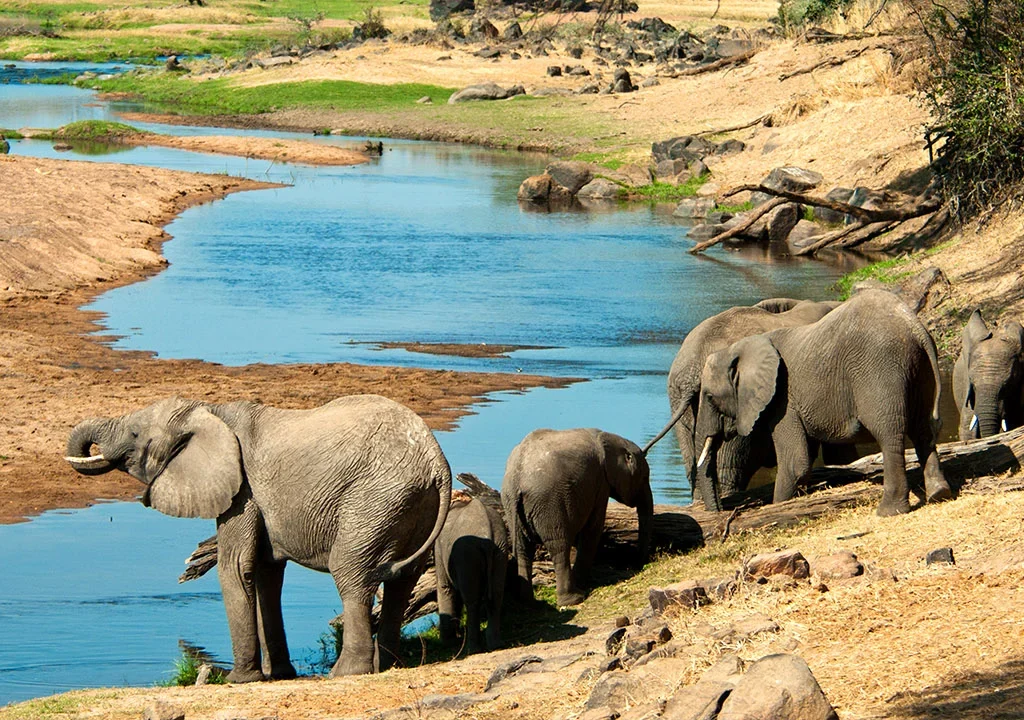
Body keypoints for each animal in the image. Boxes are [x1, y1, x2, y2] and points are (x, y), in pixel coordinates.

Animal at [65, 394, 452, 680]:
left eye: (134, 435)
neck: (210, 412)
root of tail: (437, 463)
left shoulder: (242, 491)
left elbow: (236, 567)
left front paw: (239, 680)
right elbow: (266, 574)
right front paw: (279, 675)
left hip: (374, 500)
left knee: (352, 575)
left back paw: (346, 673)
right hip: (411, 506)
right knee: (402, 582)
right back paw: (388, 666)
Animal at [434, 492, 509, 654]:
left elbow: (445, 588)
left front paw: (448, 643)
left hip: (467, 554)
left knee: (472, 601)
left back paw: (472, 649)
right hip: (500, 548)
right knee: (496, 595)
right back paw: (496, 645)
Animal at [501, 428, 652, 607]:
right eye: (644, 478)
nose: (640, 564)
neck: (609, 438)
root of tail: (517, 481)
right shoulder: (600, 482)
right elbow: (593, 528)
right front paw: (583, 583)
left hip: (511, 504)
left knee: (523, 549)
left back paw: (528, 603)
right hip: (549, 504)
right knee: (559, 547)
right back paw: (573, 599)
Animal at [691, 289, 952, 517]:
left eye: (710, 397)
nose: (722, 511)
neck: (743, 346)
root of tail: (913, 326)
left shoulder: (783, 400)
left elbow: (795, 463)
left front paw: (778, 506)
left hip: (880, 368)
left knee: (890, 433)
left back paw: (889, 512)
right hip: (921, 370)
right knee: (923, 429)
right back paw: (939, 495)